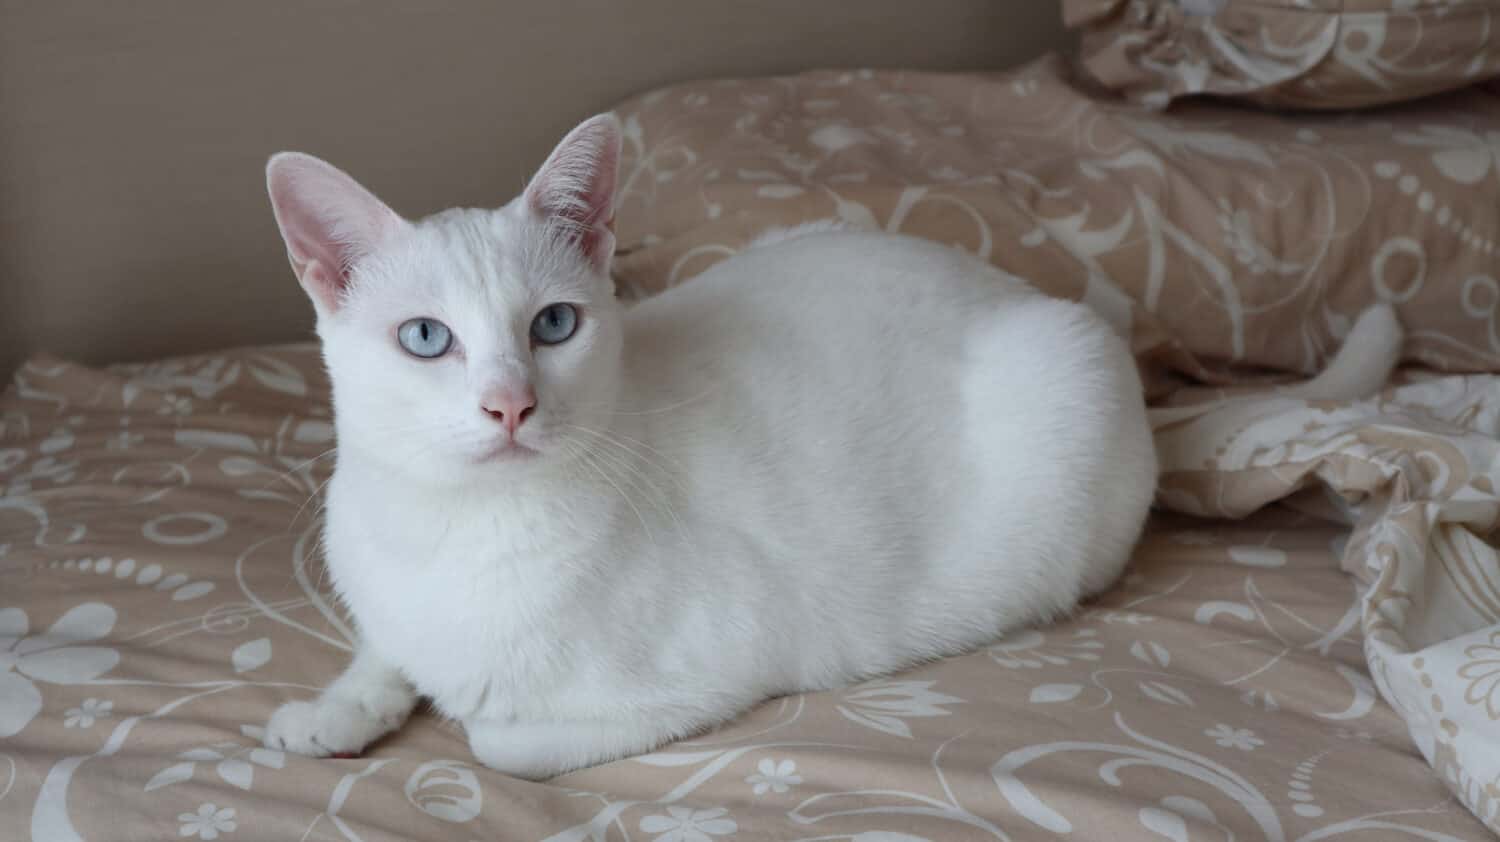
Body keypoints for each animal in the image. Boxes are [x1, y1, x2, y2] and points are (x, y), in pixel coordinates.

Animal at [261, 114, 1392, 780]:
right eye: (426, 339)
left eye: (553, 325)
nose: (509, 406)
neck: (450, 532)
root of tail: (1029, 295)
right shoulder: (392, 601)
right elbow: (385, 653)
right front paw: (331, 711)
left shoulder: (709, 675)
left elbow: (495, 740)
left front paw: (443, 710)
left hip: (1059, 397)